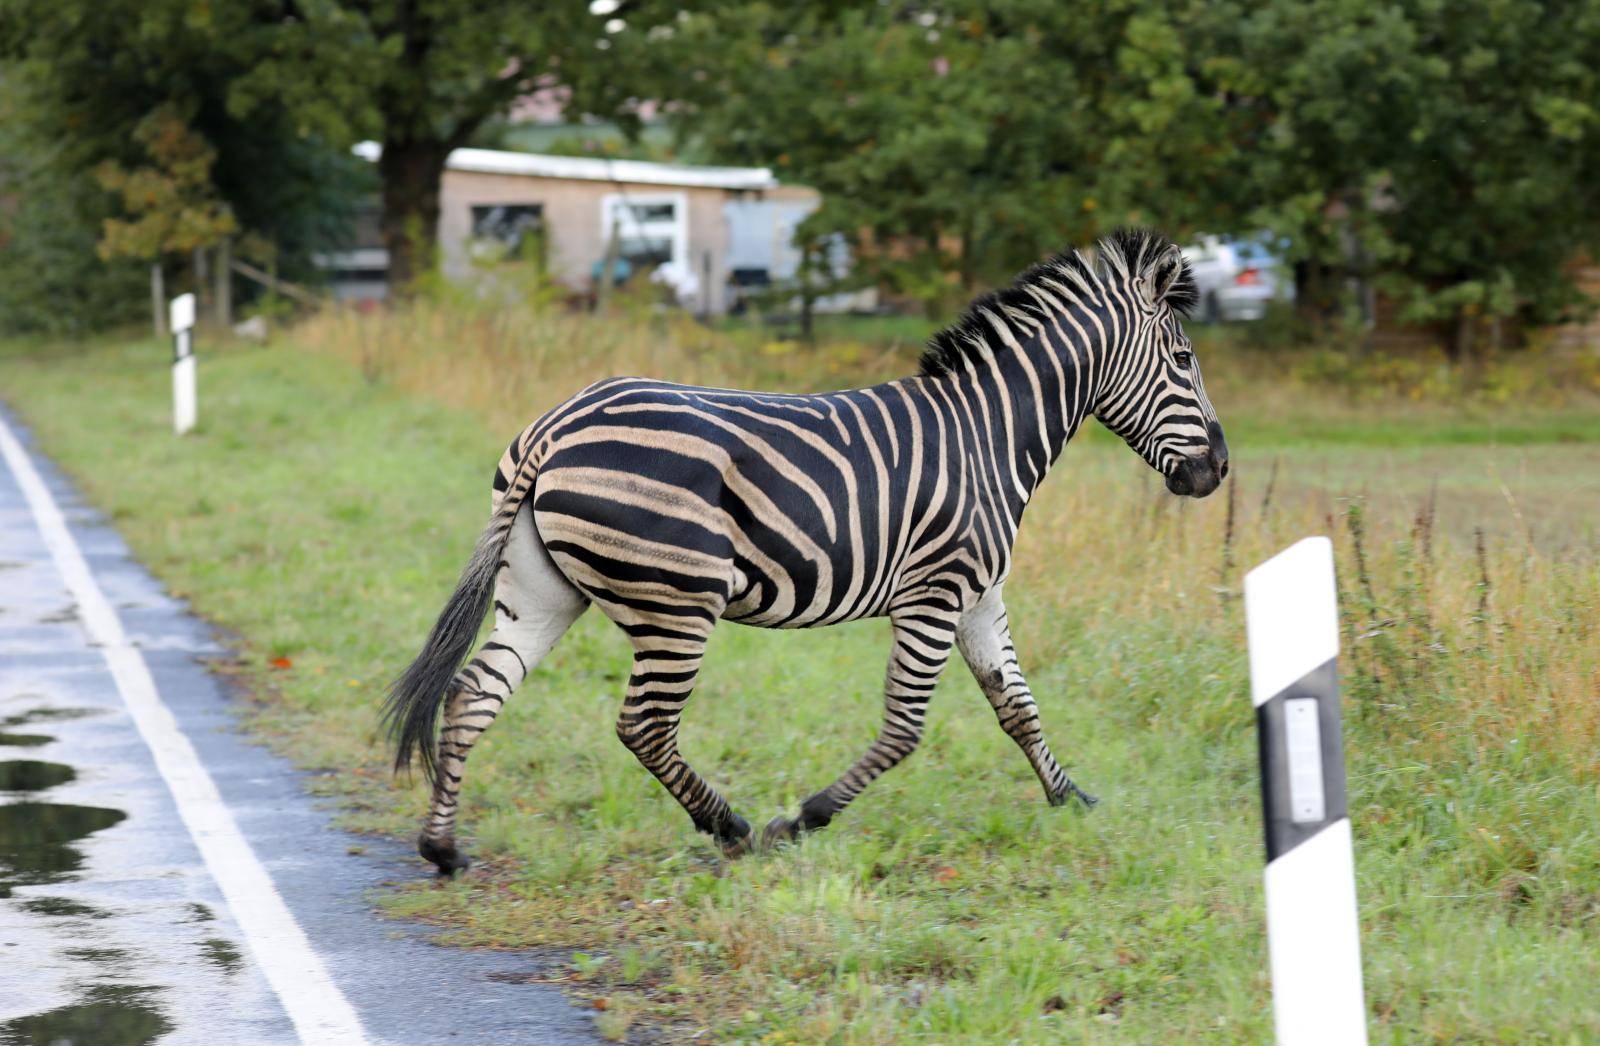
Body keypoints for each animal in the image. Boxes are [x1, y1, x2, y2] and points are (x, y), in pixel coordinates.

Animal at [384, 230, 1222, 876]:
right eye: (1184, 361)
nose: (1216, 471)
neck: (989, 433)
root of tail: (558, 424)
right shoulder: (934, 592)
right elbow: (906, 728)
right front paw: (805, 818)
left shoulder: (979, 593)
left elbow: (1017, 705)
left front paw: (1070, 799)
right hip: (678, 602)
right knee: (642, 725)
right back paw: (733, 829)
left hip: (543, 590)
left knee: (474, 693)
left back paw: (443, 848)